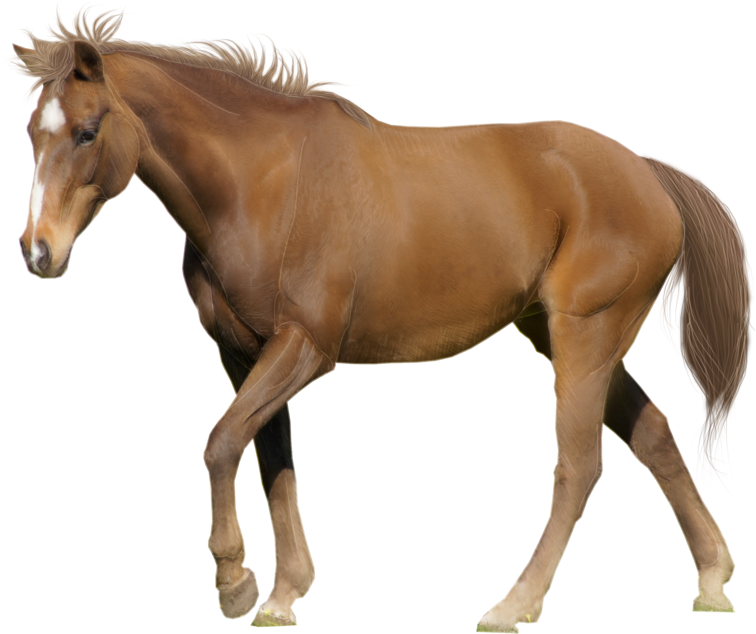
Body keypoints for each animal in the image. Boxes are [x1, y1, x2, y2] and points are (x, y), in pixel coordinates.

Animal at [7, 5, 750, 631]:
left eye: (87, 131)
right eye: (35, 133)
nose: (39, 252)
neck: (262, 185)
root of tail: (648, 174)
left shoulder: (305, 349)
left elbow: (221, 444)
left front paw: (236, 583)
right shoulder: (245, 354)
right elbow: (271, 457)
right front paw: (283, 595)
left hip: (584, 336)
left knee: (578, 467)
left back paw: (513, 605)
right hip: (565, 336)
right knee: (654, 437)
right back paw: (712, 581)